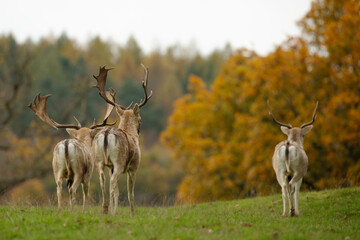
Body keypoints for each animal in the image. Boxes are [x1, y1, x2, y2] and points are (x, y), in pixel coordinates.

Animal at [91, 64, 152, 216]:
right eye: (140, 119)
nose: (139, 130)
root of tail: (106, 135)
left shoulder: (110, 167)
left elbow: (118, 191)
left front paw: (115, 210)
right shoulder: (134, 166)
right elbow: (130, 193)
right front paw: (132, 213)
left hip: (99, 161)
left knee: (103, 181)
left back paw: (105, 209)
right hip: (119, 161)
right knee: (112, 183)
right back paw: (112, 211)